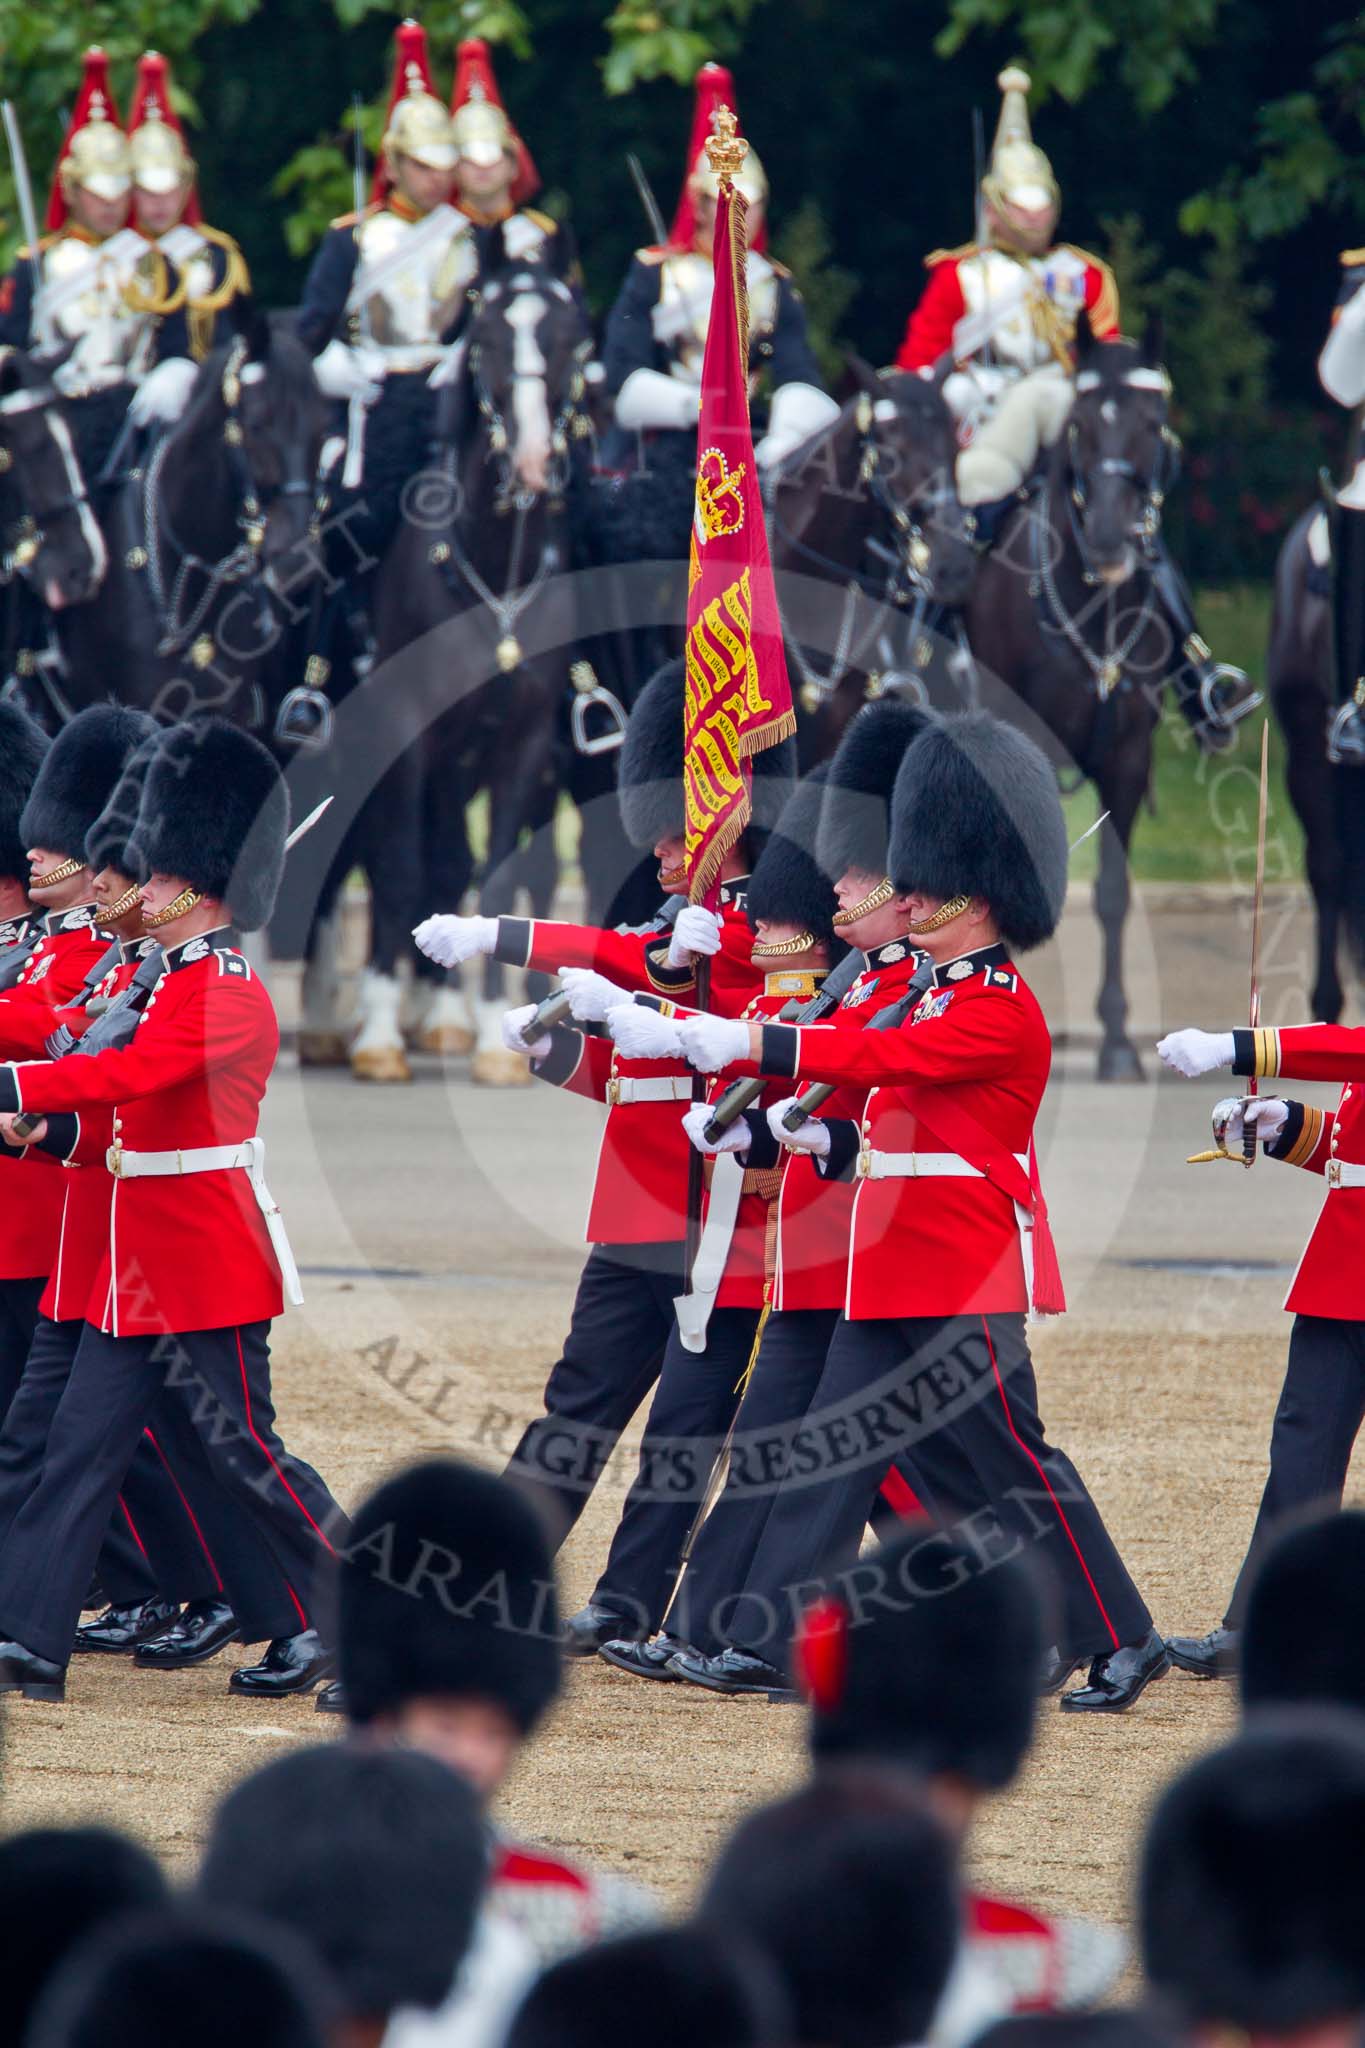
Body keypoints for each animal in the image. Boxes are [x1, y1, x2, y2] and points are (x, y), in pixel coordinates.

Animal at [965, 311, 1186, 1081]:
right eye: (1081, 425)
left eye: (1154, 422)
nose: (1112, 541)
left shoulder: (1126, 757)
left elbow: (1114, 894)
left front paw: (1116, 1037)